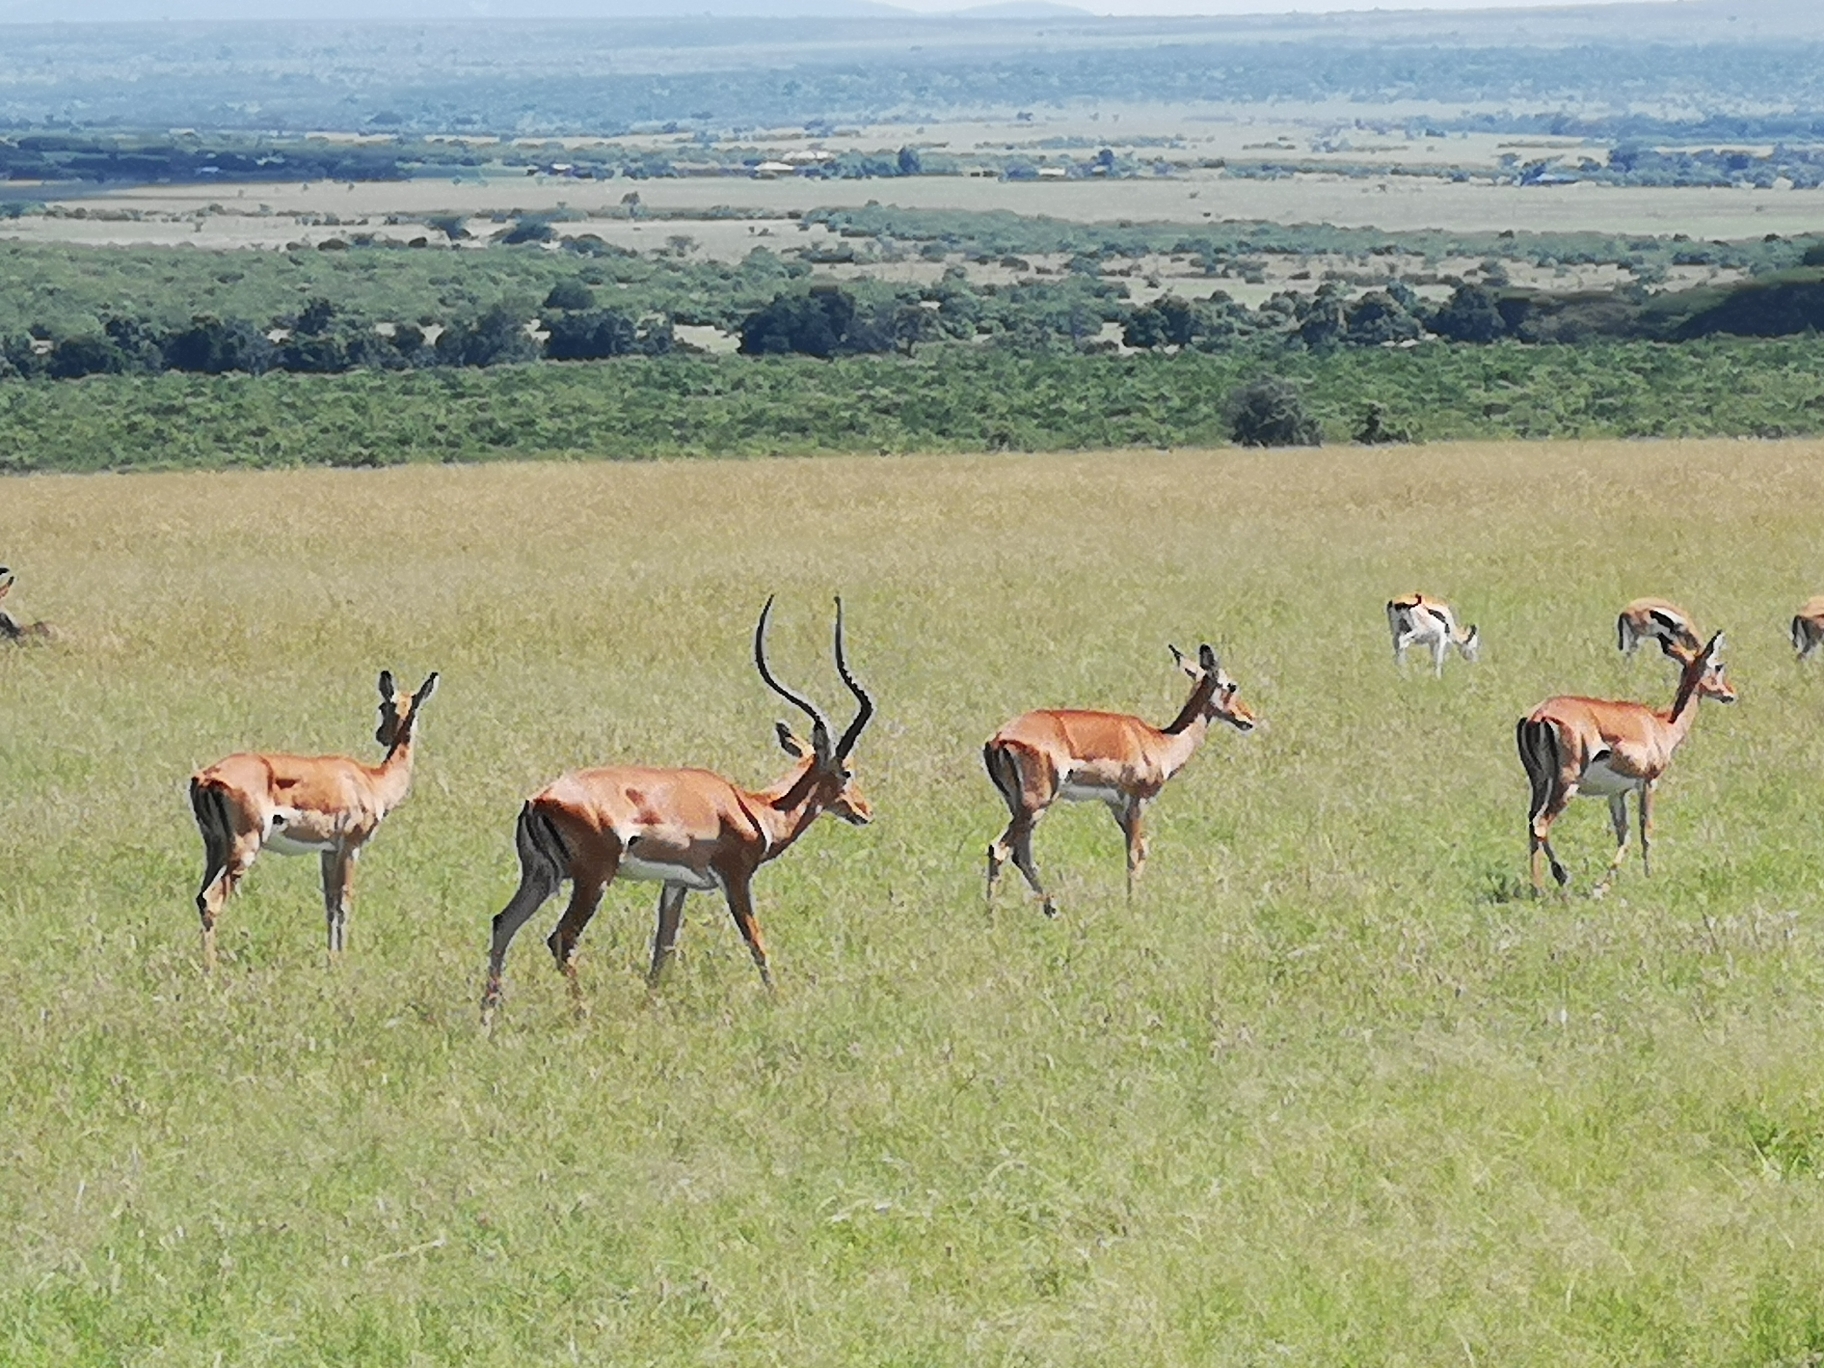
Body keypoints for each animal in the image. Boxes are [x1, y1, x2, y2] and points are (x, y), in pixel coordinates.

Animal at [187, 674, 437, 977]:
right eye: (384, 705)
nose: (383, 735)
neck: (371, 781)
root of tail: (206, 777)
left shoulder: (327, 851)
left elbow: (329, 904)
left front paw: (331, 960)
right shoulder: (350, 848)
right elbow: (344, 903)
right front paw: (341, 963)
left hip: (214, 848)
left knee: (201, 898)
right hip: (244, 849)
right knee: (212, 901)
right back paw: (211, 971)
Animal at [477, 594, 875, 1021]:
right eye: (847, 771)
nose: (865, 811)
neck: (755, 808)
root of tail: (538, 800)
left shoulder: (675, 885)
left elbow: (662, 951)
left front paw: (649, 1007)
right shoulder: (736, 879)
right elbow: (756, 942)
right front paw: (779, 1002)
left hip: (541, 877)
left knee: (503, 924)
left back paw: (487, 1018)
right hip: (592, 879)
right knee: (561, 939)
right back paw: (582, 1016)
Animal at [984, 645, 1254, 922]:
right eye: (1232, 685)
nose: (1249, 718)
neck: (1160, 742)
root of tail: (998, 739)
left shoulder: (1115, 806)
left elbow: (1139, 849)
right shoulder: (1136, 802)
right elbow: (1136, 853)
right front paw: (1132, 908)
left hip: (1021, 807)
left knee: (1021, 855)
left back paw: (1052, 910)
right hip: (1035, 805)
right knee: (999, 848)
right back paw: (991, 916)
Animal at [1510, 634, 1736, 901]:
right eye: (1719, 666)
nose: (1731, 693)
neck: (1662, 725)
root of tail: (1538, 716)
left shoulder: (1616, 792)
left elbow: (1623, 835)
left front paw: (1603, 886)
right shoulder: (1649, 782)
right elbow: (1646, 830)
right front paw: (1649, 875)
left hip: (1540, 782)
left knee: (1531, 822)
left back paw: (1538, 887)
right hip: (1566, 785)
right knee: (1540, 825)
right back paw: (1558, 878)